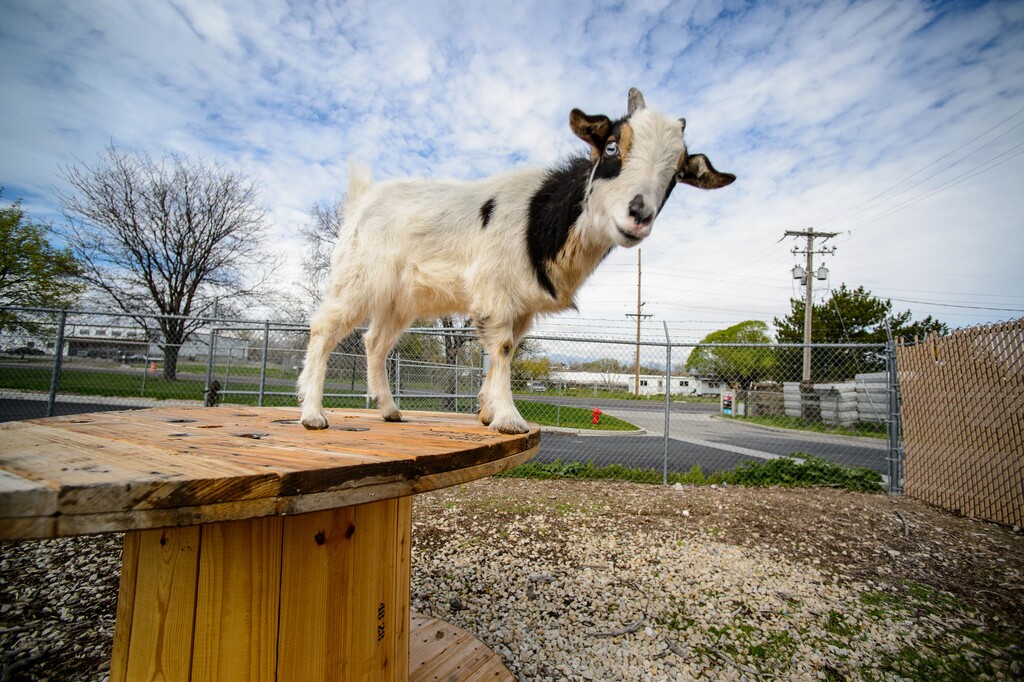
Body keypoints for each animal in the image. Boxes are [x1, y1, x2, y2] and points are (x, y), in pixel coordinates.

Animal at [298, 88, 735, 434]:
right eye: (612, 146)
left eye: (677, 173)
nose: (639, 215)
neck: (542, 217)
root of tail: (361, 200)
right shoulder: (497, 293)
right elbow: (505, 349)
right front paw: (509, 419)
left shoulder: (521, 306)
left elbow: (502, 352)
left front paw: (488, 412)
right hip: (358, 279)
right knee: (324, 328)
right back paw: (313, 414)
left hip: (400, 300)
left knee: (375, 342)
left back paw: (389, 410)